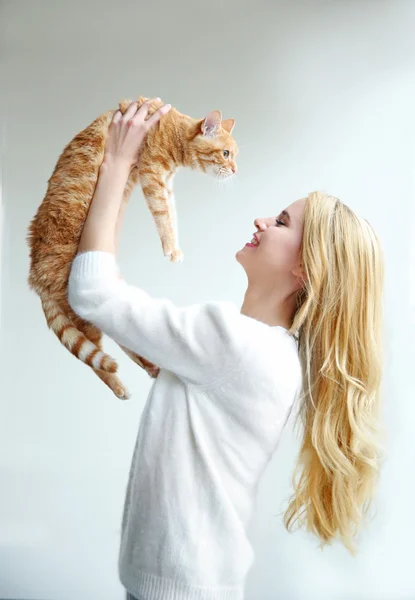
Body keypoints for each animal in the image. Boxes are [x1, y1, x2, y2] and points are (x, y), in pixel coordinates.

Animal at [26, 95, 237, 398]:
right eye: (226, 154)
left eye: (234, 156)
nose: (235, 170)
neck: (172, 130)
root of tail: (34, 276)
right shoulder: (153, 176)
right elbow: (163, 215)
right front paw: (171, 248)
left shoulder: (166, 183)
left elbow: (172, 215)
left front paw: (174, 244)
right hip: (79, 302)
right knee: (99, 353)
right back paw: (119, 384)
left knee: (119, 332)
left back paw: (149, 365)